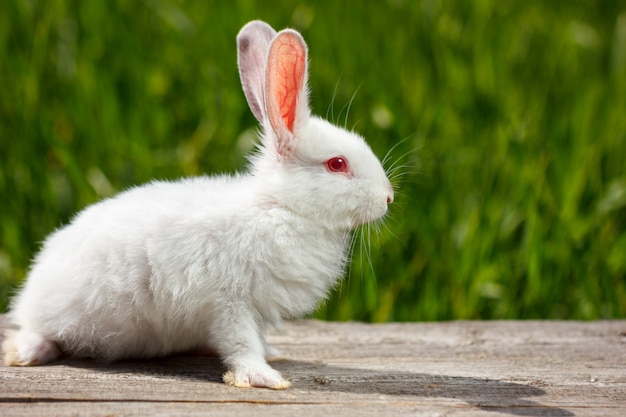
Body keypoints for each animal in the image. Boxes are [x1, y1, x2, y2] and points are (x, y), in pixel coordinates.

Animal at [4, 21, 392, 388]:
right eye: (337, 164)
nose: (388, 197)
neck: (281, 207)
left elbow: (253, 340)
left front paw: (271, 356)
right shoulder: (229, 302)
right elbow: (241, 344)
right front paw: (263, 379)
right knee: (36, 330)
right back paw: (24, 353)